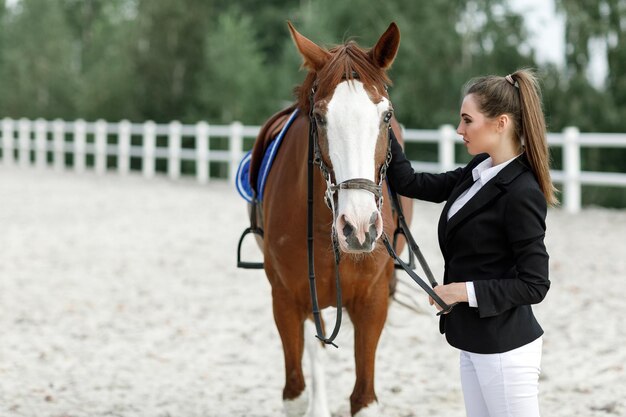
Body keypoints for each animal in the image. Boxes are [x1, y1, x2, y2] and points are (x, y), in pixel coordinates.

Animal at [246, 22, 412, 416]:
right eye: (319, 117)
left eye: (386, 115)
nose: (359, 227)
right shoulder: (286, 299)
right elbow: (296, 392)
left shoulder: (372, 302)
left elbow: (364, 400)